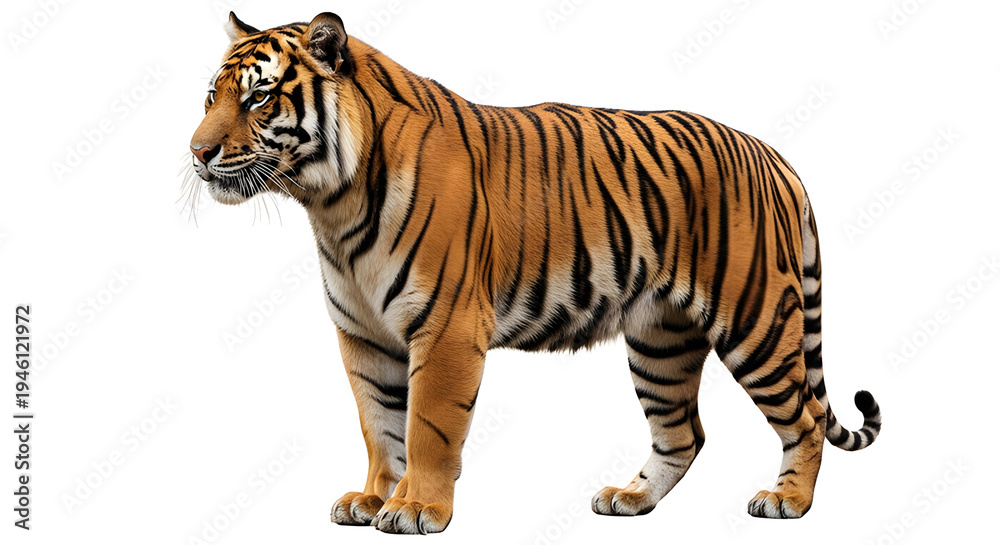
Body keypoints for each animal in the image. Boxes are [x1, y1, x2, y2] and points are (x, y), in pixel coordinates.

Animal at [187, 12, 882, 534]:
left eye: (258, 96)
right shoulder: (362, 335)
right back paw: (631, 499)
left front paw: (415, 508)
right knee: (683, 433)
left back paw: (788, 500)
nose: (197, 152)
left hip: (755, 321)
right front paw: (373, 498)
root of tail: (772, 154)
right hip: (661, 339)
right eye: (212, 96)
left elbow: (427, 425)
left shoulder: (445, 328)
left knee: (804, 417)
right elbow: (378, 424)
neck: (331, 202)